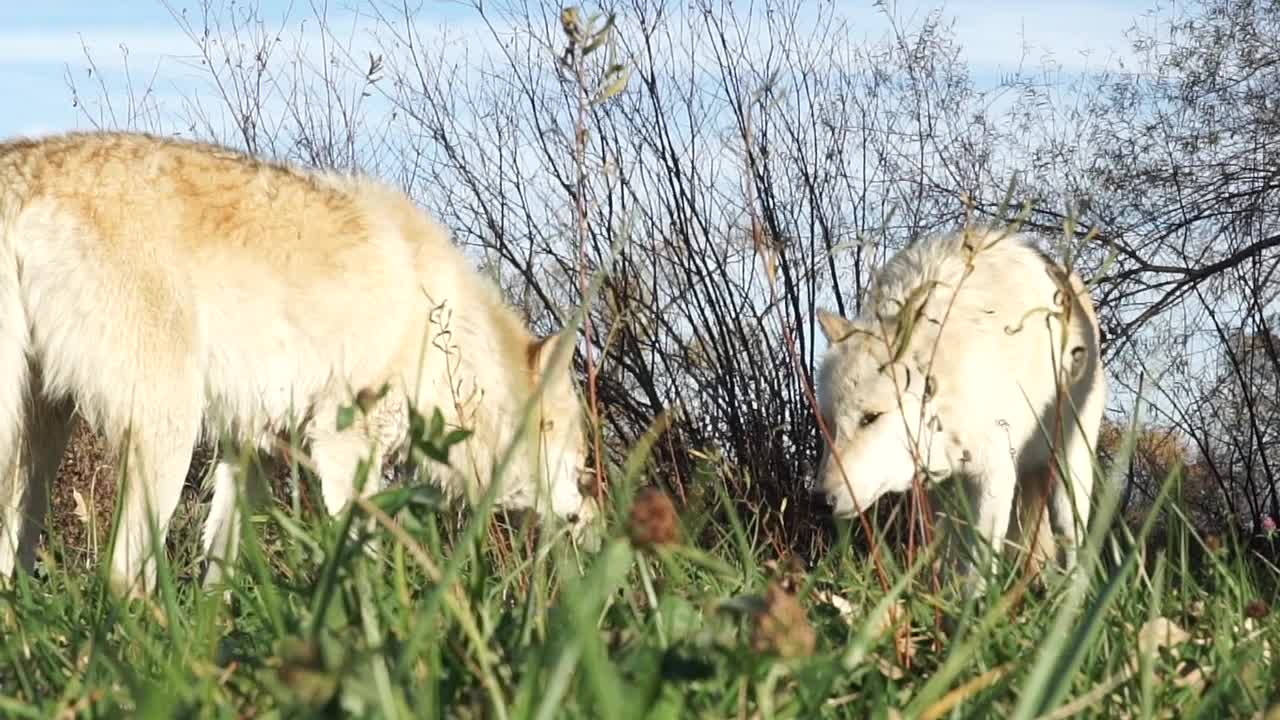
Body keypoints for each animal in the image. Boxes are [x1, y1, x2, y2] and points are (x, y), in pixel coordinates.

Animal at [0, 128, 596, 594]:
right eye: (583, 462)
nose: (591, 519)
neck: (443, 333)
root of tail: (23, 166)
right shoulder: (343, 444)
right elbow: (359, 553)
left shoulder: (250, 451)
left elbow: (220, 572)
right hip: (166, 430)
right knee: (124, 576)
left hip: (40, 436)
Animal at [819, 224, 1111, 584]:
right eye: (828, 422)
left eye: (870, 417)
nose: (820, 500)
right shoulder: (935, 490)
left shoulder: (993, 477)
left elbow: (977, 573)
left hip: (1068, 477)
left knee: (1072, 545)